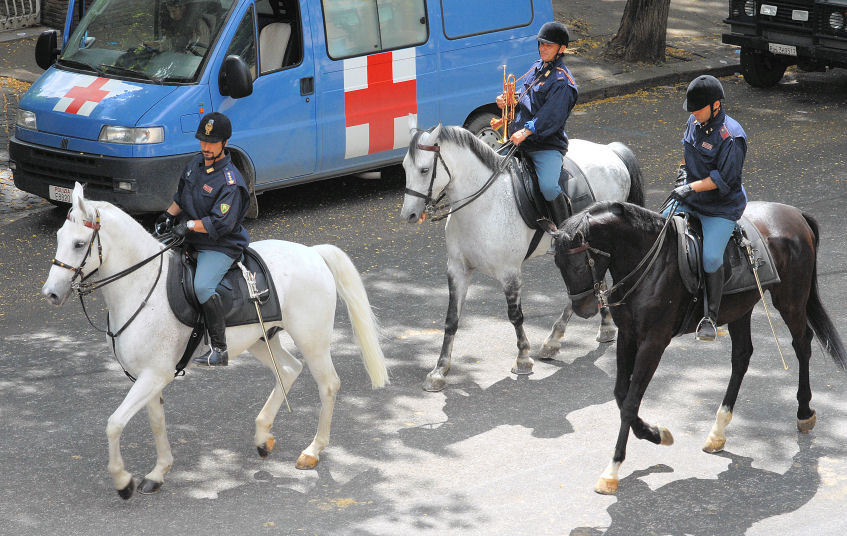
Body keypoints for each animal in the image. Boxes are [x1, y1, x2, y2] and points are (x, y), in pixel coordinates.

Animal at [41, 183, 390, 498]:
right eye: (59, 238)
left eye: (79, 244)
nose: (51, 294)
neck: (141, 286)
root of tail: (313, 253)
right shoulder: (148, 377)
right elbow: (156, 422)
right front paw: (158, 472)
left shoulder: (154, 375)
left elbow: (114, 424)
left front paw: (123, 481)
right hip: (261, 340)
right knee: (290, 369)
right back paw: (262, 437)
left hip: (312, 342)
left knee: (328, 384)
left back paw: (312, 450)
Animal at [400, 126, 644, 394]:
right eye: (404, 167)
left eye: (424, 170)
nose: (408, 214)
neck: (483, 206)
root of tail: (611, 152)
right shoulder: (457, 269)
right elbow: (451, 319)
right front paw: (439, 370)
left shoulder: (510, 272)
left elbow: (515, 316)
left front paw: (523, 358)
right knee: (593, 283)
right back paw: (601, 328)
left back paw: (555, 339)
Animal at [552, 200, 844, 494]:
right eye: (558, 263)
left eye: (580, 262)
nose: (583, 308)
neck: (648, 261)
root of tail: (794, 213)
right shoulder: (628, 336)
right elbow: (621, 395)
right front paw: (656, 434)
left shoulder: (654, 341)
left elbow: (630, 402)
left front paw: (612, 471)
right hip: (741, 308)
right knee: (742, 356)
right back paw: (718, 431)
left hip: (790, 299)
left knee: (802, 344)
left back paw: (804, 412)